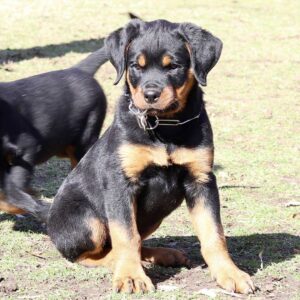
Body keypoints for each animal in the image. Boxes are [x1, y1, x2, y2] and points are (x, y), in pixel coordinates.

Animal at [11, 19, 255, 294]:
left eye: (174, 66)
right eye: (136, 66)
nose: (150, 95)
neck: (164, 127)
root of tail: (49, 215)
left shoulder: (201, 180)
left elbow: (214, 233)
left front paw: (230, 273)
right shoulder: (120, 183)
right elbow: (126, 236)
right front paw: (130, 277)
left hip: (153, 216)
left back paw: (161, 255)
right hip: (88, 220)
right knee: (90, 254)